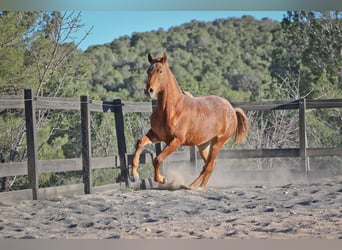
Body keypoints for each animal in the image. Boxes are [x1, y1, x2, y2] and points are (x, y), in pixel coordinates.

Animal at [132, 52, 248, 189]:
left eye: (160, 71)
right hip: (203, 145)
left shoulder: (176, 141)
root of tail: (232, 110)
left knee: (208, 165)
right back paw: (198, 186)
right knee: (210, 165)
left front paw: (163, 179)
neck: (172, 110)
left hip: (218, 143)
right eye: (148, 71)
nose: (149, 90)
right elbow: (140, 143)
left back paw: (192, 186)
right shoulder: (156, 135)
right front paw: (134, 175)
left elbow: (157, 159)